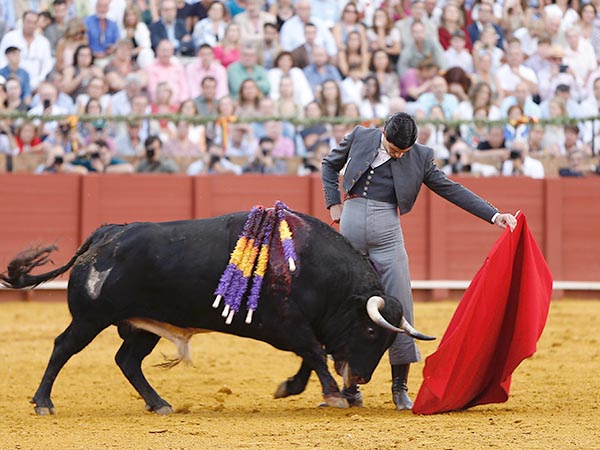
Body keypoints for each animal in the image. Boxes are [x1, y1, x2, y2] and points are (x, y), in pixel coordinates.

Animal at [0, 211, 432, 414]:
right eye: (373, 332)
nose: (359, 378)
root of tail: (106, 233)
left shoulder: (298, 327)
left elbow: (311, 357)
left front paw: (292, 388)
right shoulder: (288, 324)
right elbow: (313, 353)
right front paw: (333, 394)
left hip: (143, 327)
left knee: (127, 360)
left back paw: (159, 403)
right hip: (90, 318)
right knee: (63, 348)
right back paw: (43, 402)